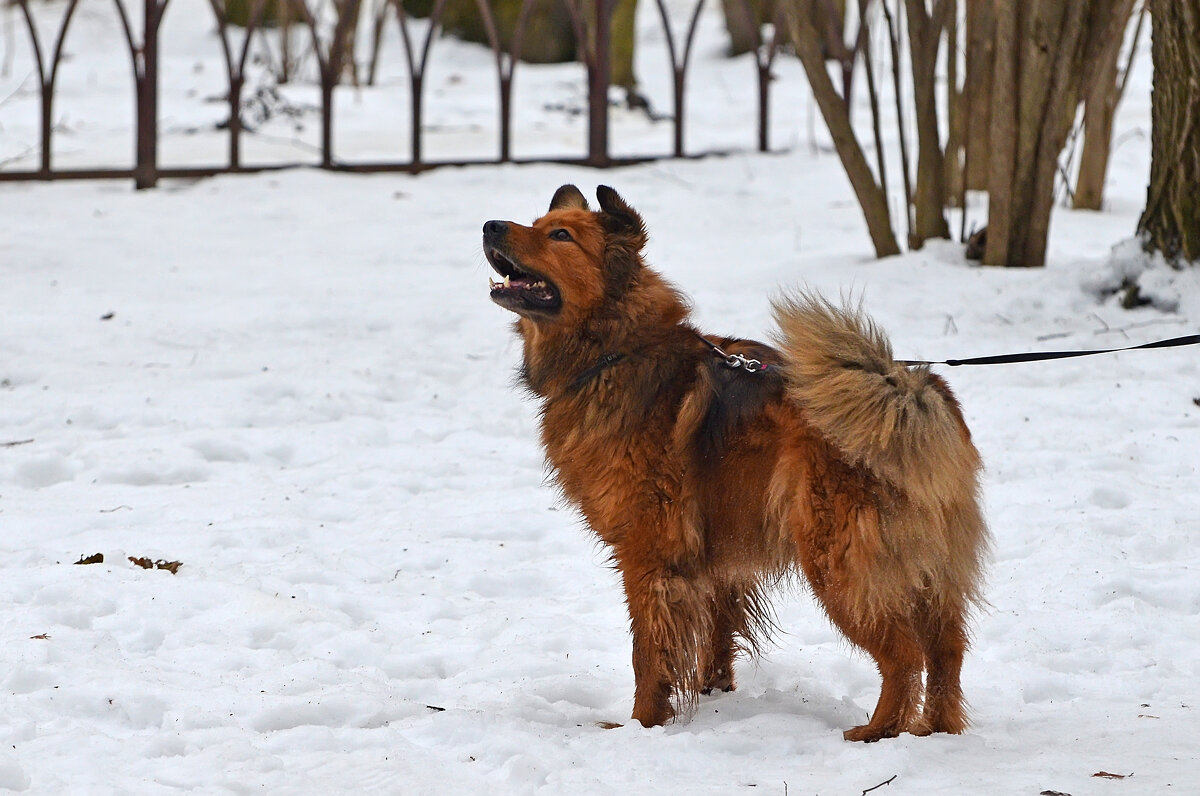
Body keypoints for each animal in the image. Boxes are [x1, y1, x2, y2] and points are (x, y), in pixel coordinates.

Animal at [482, 182, 988, 739]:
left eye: (560, 235)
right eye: (537, 223)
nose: (490, 225)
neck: (617, 350)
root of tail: (910, 394)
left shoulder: (648, 557)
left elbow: (648, 655)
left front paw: (642, 725)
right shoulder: (715, 559)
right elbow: (715, 634)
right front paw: (712, 693)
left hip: (841, 565)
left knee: (904, 654)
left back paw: (876, 732)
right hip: (929, 574)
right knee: (947, 651)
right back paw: (936, 729)